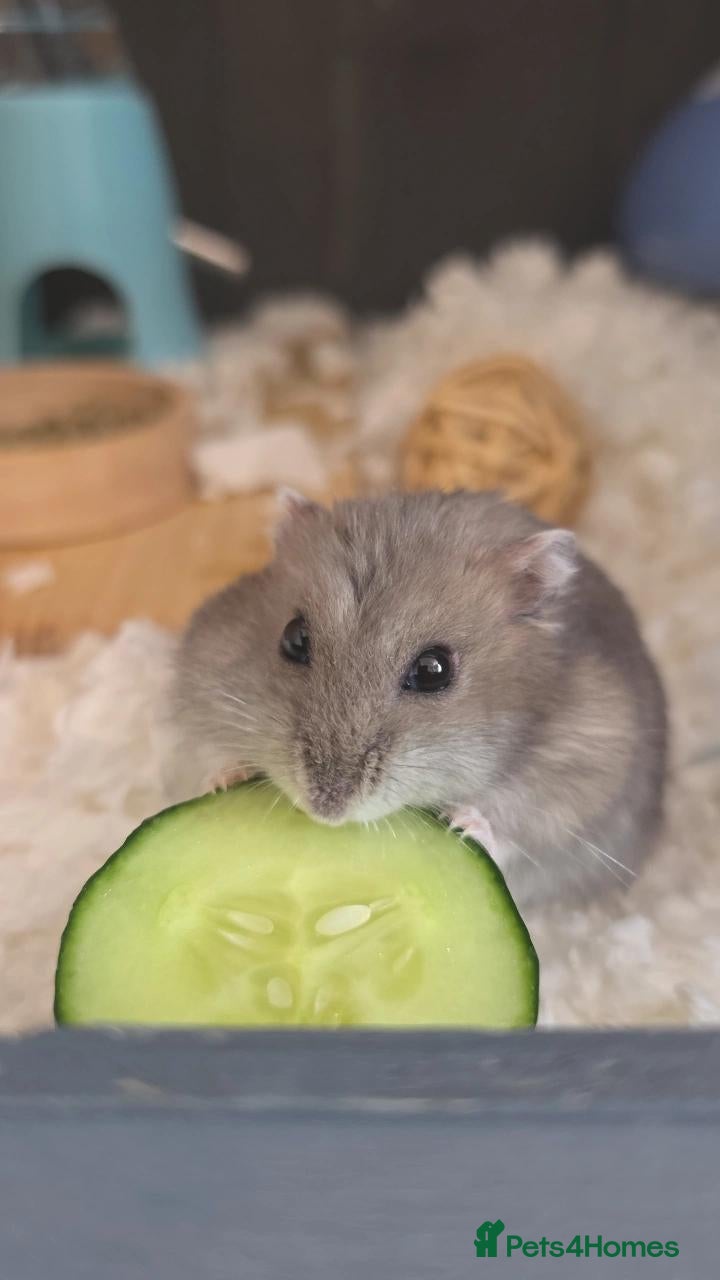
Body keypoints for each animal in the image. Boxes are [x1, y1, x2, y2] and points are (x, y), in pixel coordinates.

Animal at [169, 489, 667, 908]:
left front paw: (466, 825)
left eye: (433, 670)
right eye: (294, 638)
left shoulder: (586, 762)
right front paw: (227, 776)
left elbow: (518, 829)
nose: (326, 810)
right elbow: (205, 750)